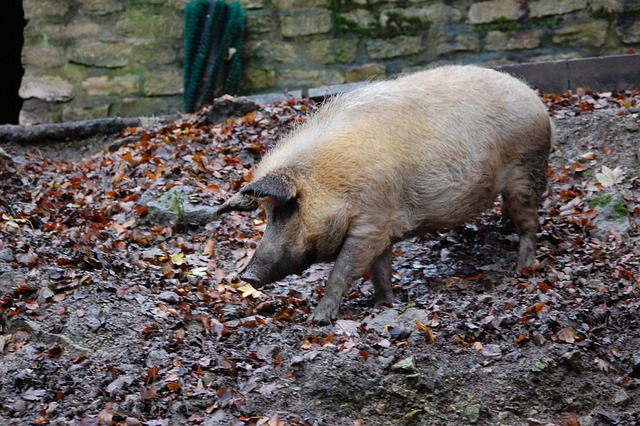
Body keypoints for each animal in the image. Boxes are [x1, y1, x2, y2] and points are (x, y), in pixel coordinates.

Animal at [214, 65, 552, 322]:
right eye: (267, 213)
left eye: (289, 208)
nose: (248, 276)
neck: (335, 181)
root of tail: (536, 101)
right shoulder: (383, 224)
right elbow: (380, 269)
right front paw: (385, 304)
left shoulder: (371, 223)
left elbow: (343, 270)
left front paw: (317, 320)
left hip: (526, 172)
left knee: (530, 225)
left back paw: (522, 269)